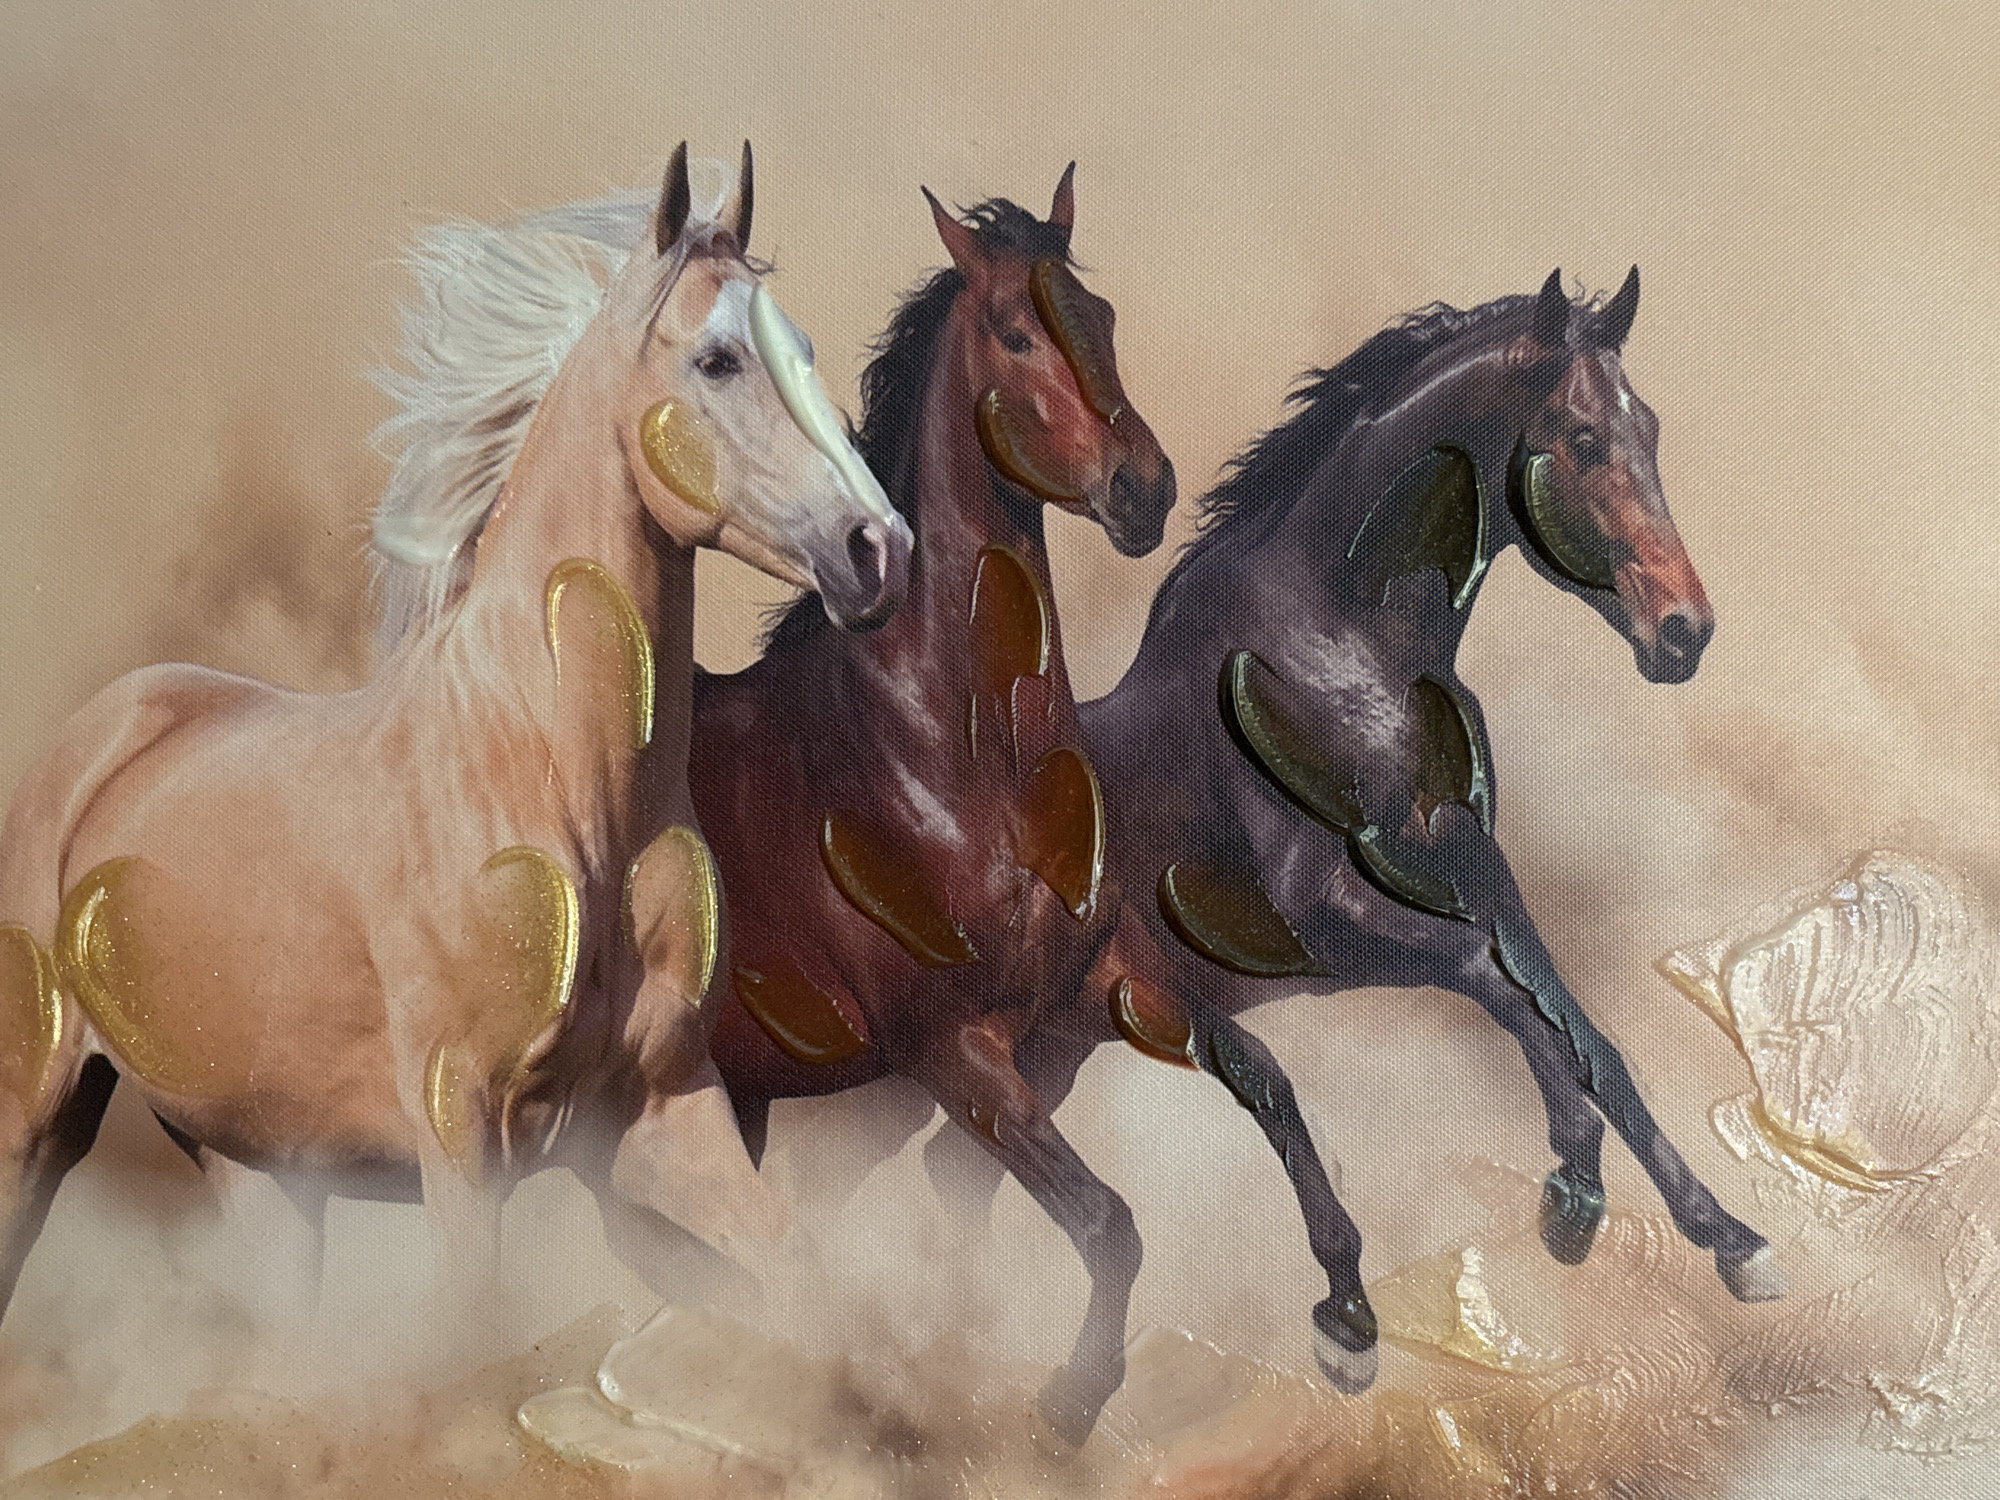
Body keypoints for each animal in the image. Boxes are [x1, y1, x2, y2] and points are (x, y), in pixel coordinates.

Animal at [0, 143, 914, 1330]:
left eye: (799, 348)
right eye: (716, 360)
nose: (878, 549)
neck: (559, 784)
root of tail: (99, 739)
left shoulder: (662, 1113)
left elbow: (801, 1281)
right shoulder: (460, 1130)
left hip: (264, 1174)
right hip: (33, 1121)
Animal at [686, 168, 1190, 1442]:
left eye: (1103, 318)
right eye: (1013, 332)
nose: (1143, 489)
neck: (944, 752)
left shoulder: (1069, 1005)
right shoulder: (951, 1049)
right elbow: (1107, 1221)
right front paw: (1066, 1403)